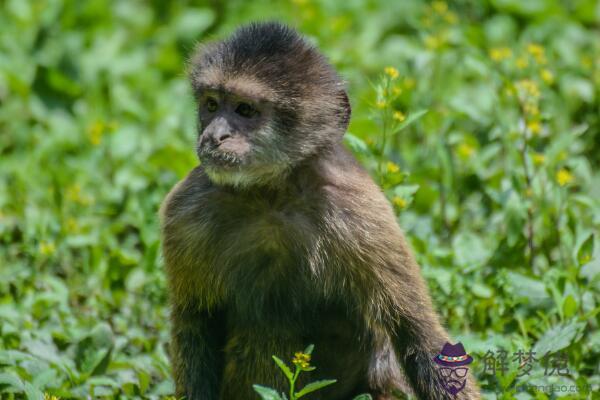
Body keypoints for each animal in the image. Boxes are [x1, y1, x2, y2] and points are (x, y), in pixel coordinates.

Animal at [161, 22, 482, 400]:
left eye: (245, 110)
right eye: (211, 105)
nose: (215, 135)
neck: (271, 195)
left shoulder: (359, 209)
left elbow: (416, 331)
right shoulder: (188, 210)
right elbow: (195, 320)